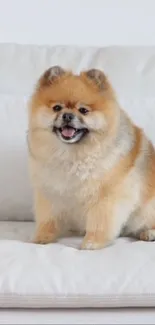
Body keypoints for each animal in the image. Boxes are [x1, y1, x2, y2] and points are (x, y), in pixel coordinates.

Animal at [28, 65, 155, 248]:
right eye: (57, 108)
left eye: (83, 111)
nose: (67, 115)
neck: (73, 155)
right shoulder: (50, 191)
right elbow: (48, 219)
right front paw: (43, 237)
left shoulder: (105, 195)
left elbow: (100, 221)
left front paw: (92, 242)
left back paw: (148, 233)